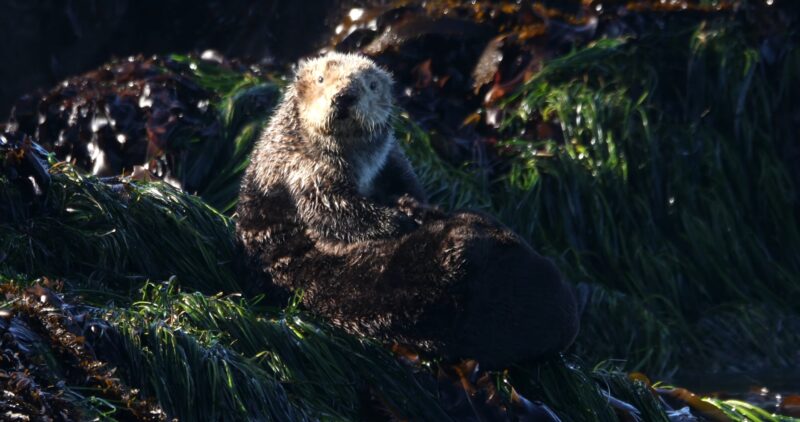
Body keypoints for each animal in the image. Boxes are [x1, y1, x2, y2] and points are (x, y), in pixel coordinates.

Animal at [234, 52, 580, 368]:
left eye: (371, 85)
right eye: (320, 79)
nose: (345, 95)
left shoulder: (394, 163)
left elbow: (406, 189)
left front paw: (413, 208)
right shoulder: (306, 172)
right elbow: (338, 212)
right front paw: (401, 220)